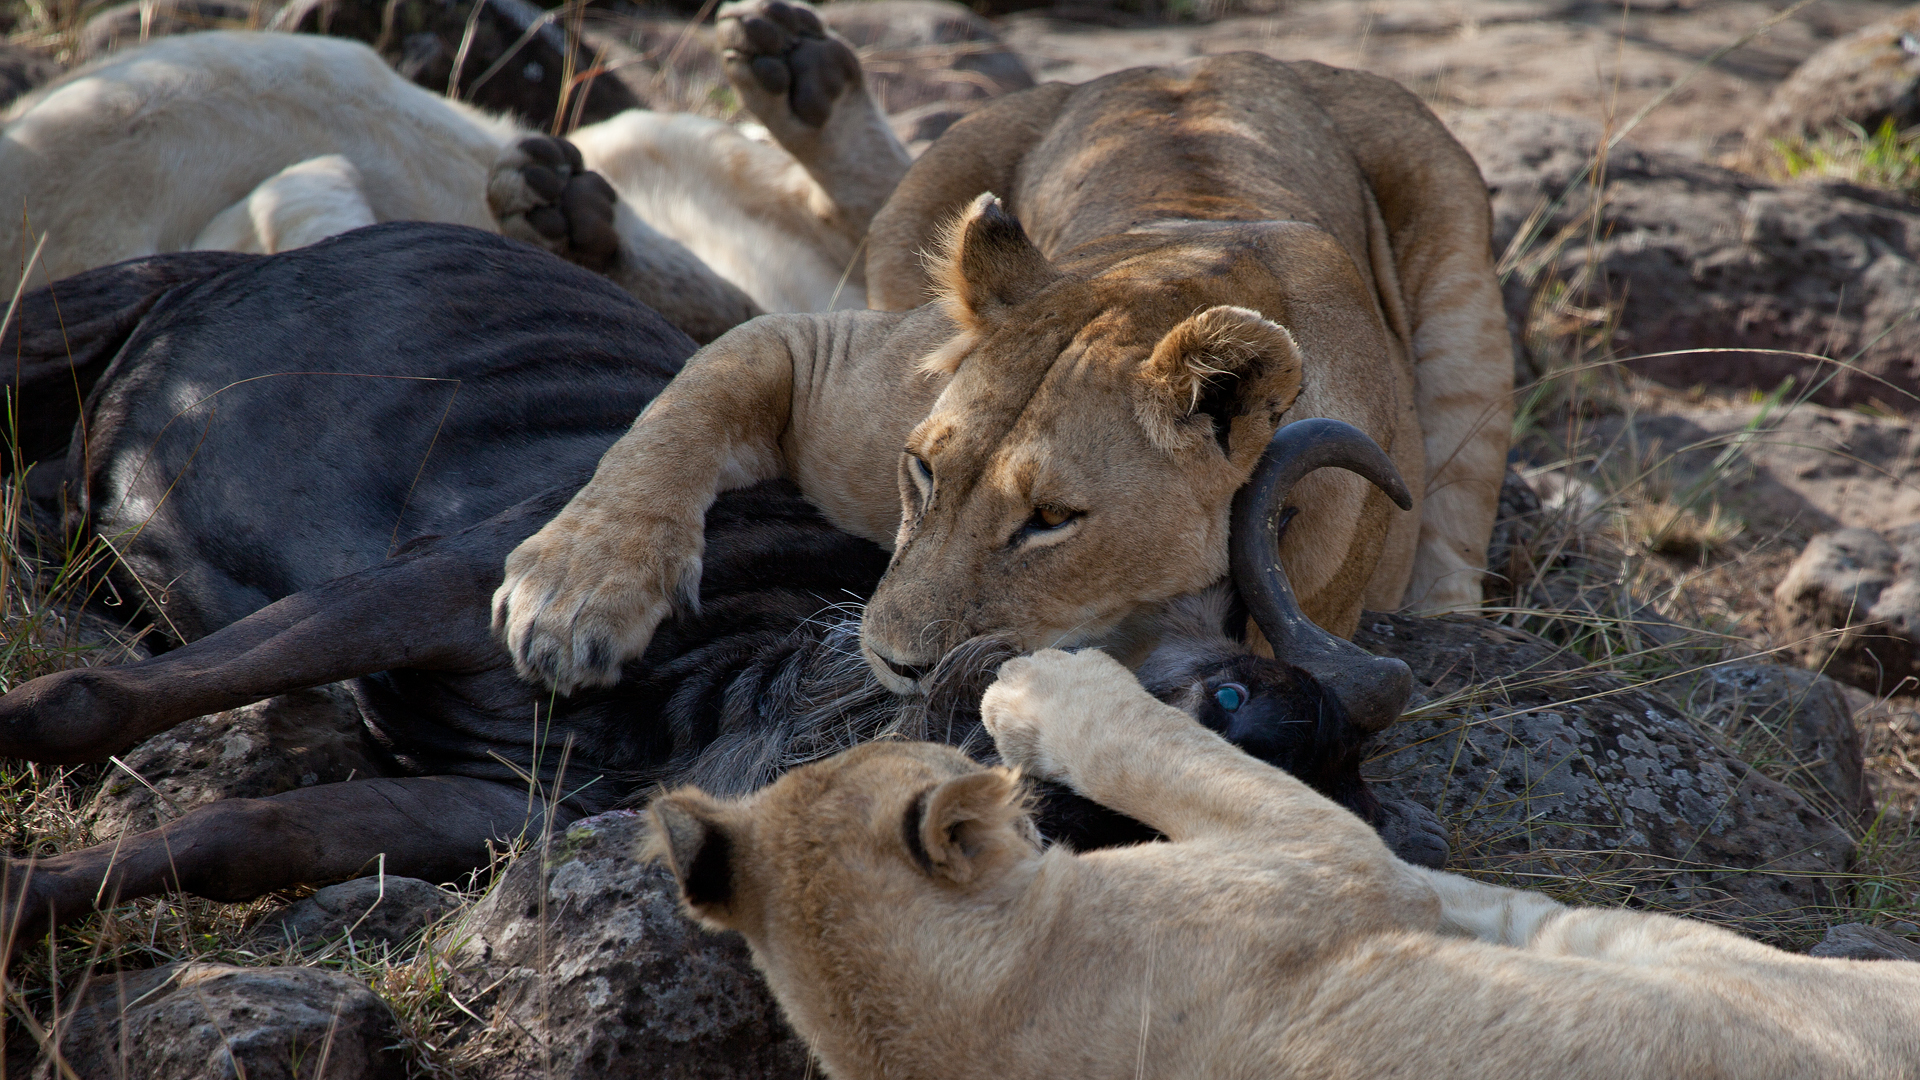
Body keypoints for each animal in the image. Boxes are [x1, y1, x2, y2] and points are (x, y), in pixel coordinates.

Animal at [492, 53, 1513, 727]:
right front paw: (574, 595)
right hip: (939, 184)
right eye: (920, 471)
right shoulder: (825, 361)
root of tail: (1207, 56)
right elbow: (675, 415)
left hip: (1463, 285)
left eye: (1051, 520)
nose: (892, 663)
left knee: (1454, 547)